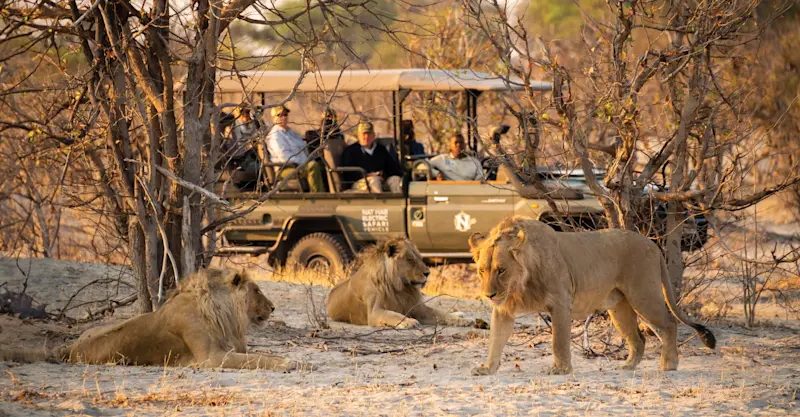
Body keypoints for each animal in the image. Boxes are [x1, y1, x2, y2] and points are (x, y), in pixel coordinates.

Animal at [2, 268, 297, 371]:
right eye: (256, 290)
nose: (273, 307)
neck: (224, 315)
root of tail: (68, 348)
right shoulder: (211, 358)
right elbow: (256, 359)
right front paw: (286, 362)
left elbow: (258, 354)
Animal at [326, 238, 473, 329]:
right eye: (411, 260)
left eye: (420, 258)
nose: (428, 273)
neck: (400, 287)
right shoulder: (374, 312)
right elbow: (393, 314)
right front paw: (408, 321)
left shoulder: (417, 308)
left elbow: (441, 313)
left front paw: (463, 321)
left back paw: (460, 314)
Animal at [468, 216, 716, 376]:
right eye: (481, 271)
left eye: (501, 270)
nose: (489, 295)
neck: (520, 284)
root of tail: (652, 244)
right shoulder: (503, 309)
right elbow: (495, 341)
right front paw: (487, 368)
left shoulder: (560, 303)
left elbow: (558, 341)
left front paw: (561, 370)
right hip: (620, 308)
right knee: (639, 338)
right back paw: (628, 366)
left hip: (644, 296)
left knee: (670, 323)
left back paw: (669, 364)